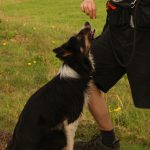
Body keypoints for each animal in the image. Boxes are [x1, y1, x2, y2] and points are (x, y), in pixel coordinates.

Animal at [7, 22, 95, 150]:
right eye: (79, 37)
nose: (87, 23)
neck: (76, 68)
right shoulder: (71, 119)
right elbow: (70, 143)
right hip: (59, 135)